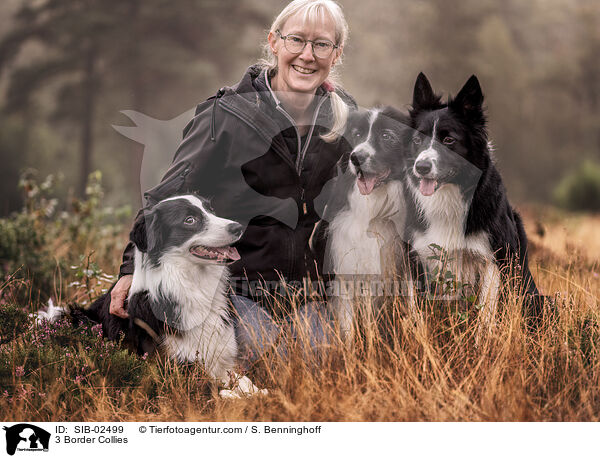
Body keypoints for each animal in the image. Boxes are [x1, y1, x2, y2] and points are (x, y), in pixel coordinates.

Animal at [406, 71, 540, 330]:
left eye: (449, 140)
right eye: (417, 140)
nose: (421, 167)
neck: (448, 195)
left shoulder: (495, 259)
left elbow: (485, 318)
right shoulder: (417, 255)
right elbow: (417, 313)